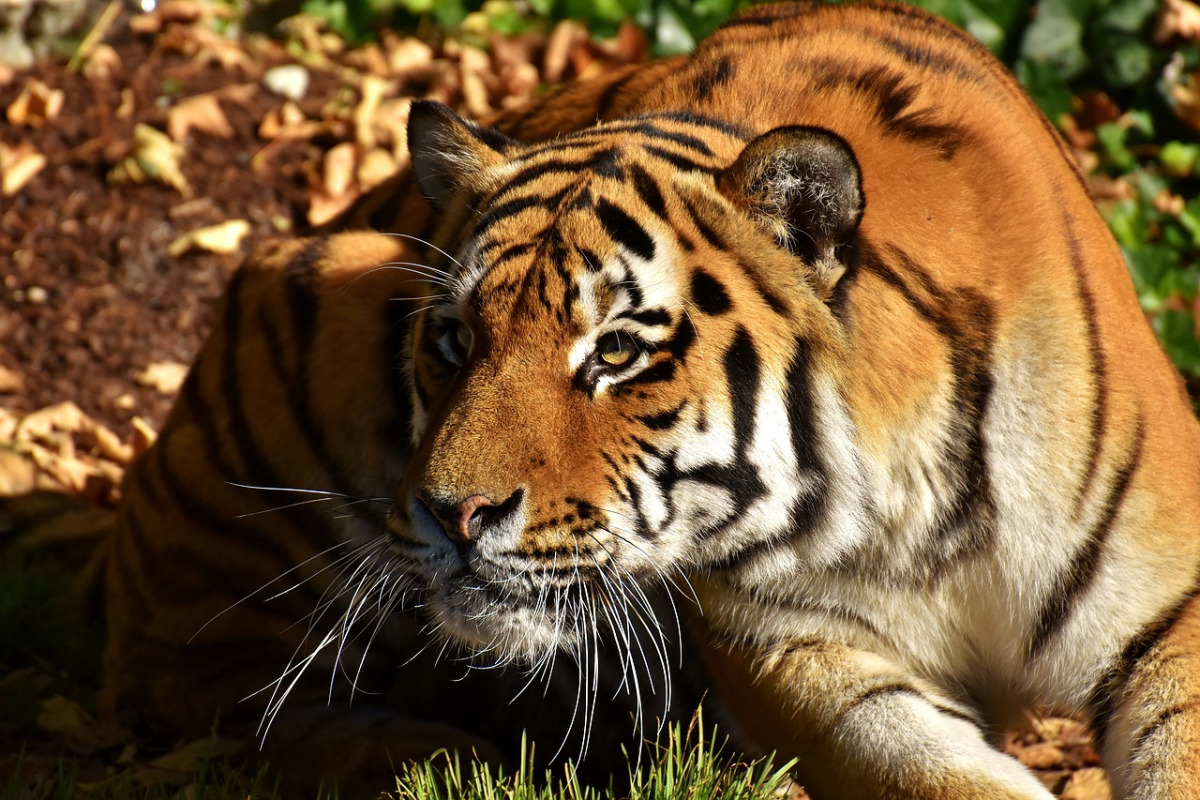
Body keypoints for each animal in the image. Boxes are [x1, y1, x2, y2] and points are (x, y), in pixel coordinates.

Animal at [102, 1, 1200, 798]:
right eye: (454, 339)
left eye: (618, 352)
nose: (451, 513)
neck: (915, 516)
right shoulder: (790, 650)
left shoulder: (1174, 613)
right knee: (209, 694)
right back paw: (439, 761)